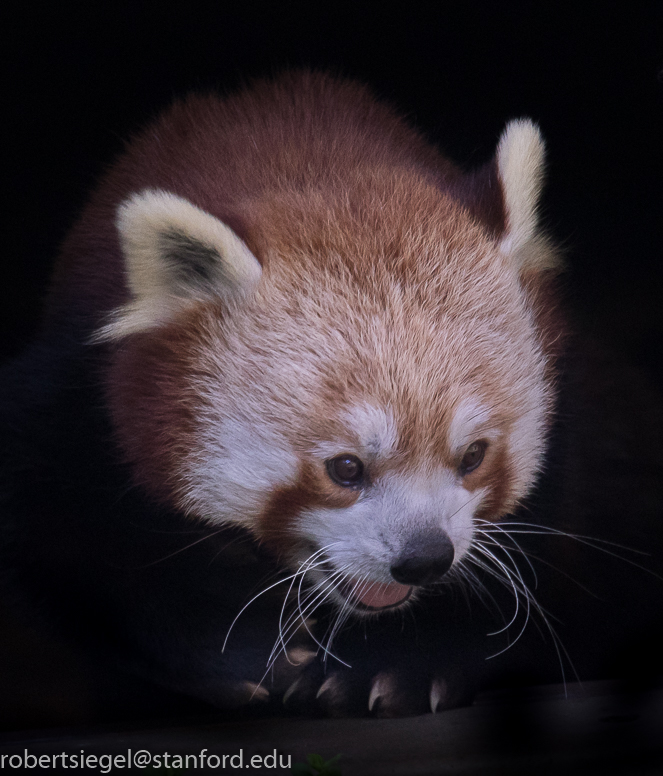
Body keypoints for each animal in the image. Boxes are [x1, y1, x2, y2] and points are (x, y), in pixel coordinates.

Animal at [0, 69, 660, 724]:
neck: (310, 156)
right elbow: (81, 548)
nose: (424, 557)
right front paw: (242, 650)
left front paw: (402, 662)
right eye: (344, 468)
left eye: (473, 455)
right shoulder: (71, 397)